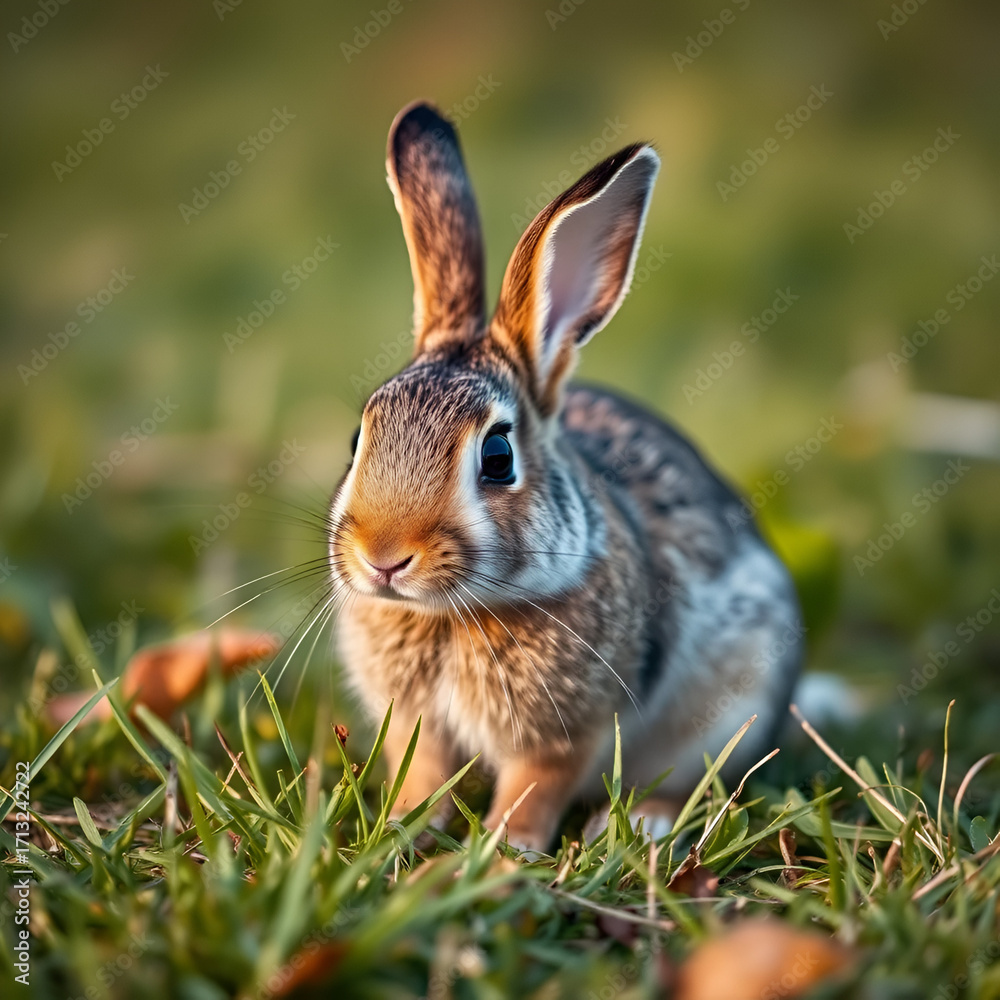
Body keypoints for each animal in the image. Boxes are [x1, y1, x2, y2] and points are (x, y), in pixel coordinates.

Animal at [327, 100, 803, 854]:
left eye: (497, 457)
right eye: (358, 440)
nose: (383, 558)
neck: (453, 616)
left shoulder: (568, 734)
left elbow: (537, 786)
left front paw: (505, 847)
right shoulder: (418, 726)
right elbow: (425, 773)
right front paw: (403, 826)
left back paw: (644, 819)